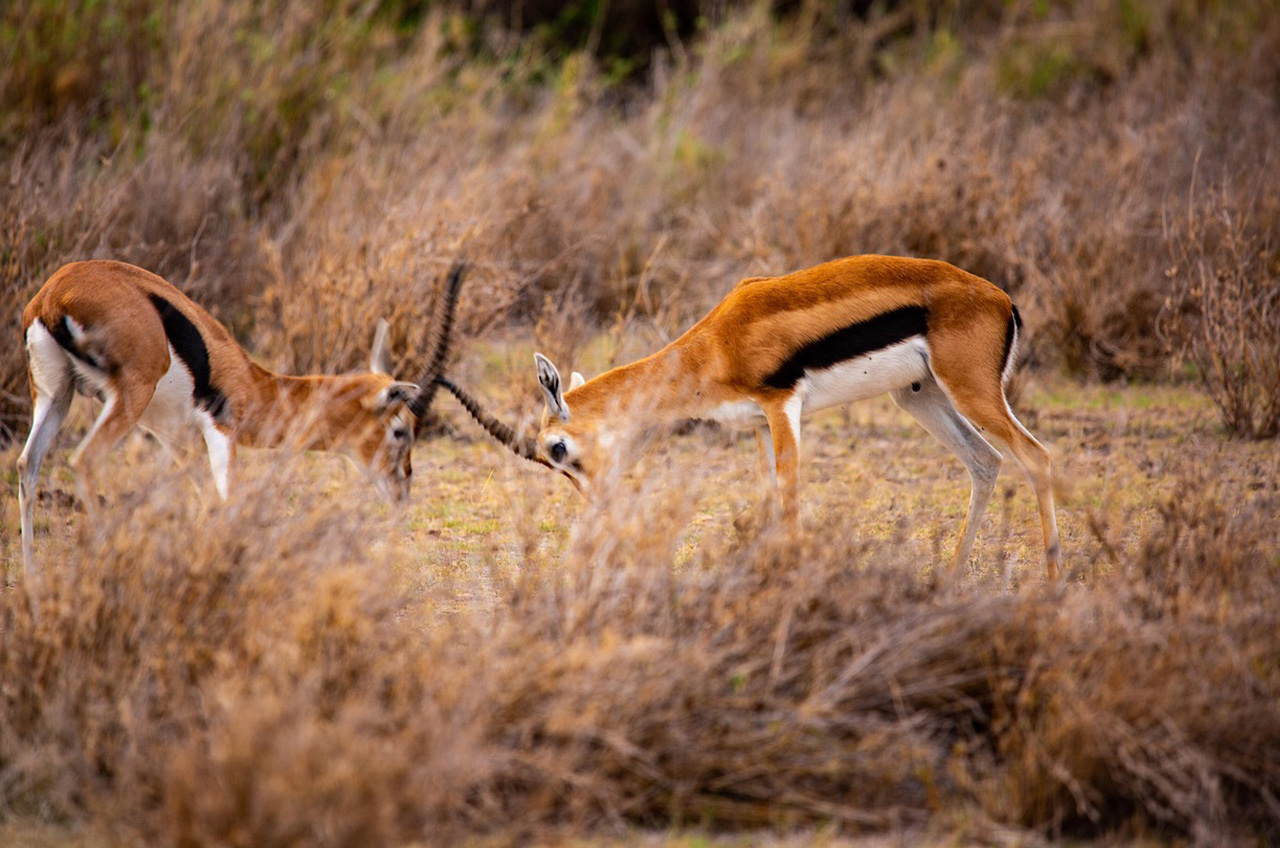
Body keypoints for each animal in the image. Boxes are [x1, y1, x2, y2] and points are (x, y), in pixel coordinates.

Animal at [17, 259, 465, 577]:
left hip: (56, 396)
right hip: (128, 395)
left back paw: (33, 580)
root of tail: (53, 295)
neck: (254, 382)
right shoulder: (220, 428)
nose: (401, 493)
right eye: (400, 431)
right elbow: (228, 500)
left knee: (27, 465)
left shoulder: (173, 441)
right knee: (83, 460)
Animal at [436, 255, 1060, 581]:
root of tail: (1002, 299)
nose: (597, 508)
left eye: (557, 450)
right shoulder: (760, 422)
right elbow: (765, 504)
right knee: (985, 463)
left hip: (970, 391)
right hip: (919, 395)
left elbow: (788, 498)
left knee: (1036, 457)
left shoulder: (782, 405)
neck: (715, 344)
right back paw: (949, 580)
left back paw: (1052, 587)